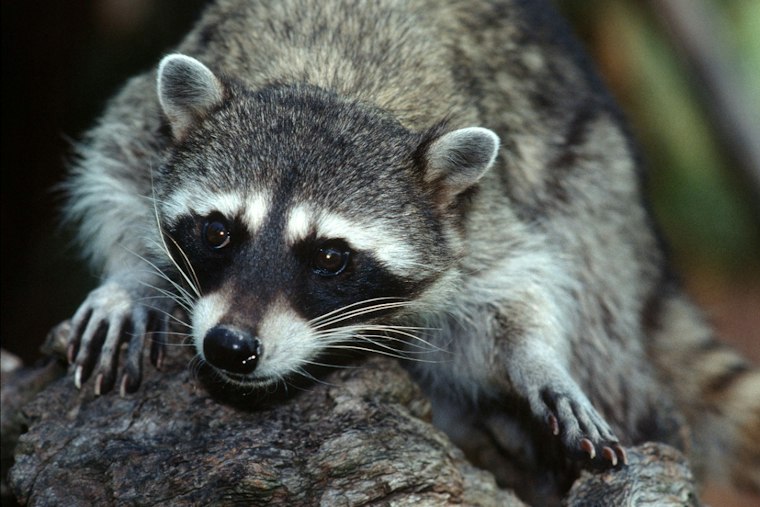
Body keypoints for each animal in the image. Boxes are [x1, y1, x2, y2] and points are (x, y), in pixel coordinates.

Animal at [62, 0, 760, 499]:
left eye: (330, 258)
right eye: (218, 232)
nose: (231, 347)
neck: (332, 83)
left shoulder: (473, 212)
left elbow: (518, 281)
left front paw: (537, 357)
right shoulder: (152, 125)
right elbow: (114, 172)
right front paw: (129, 280)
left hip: (597, 193)